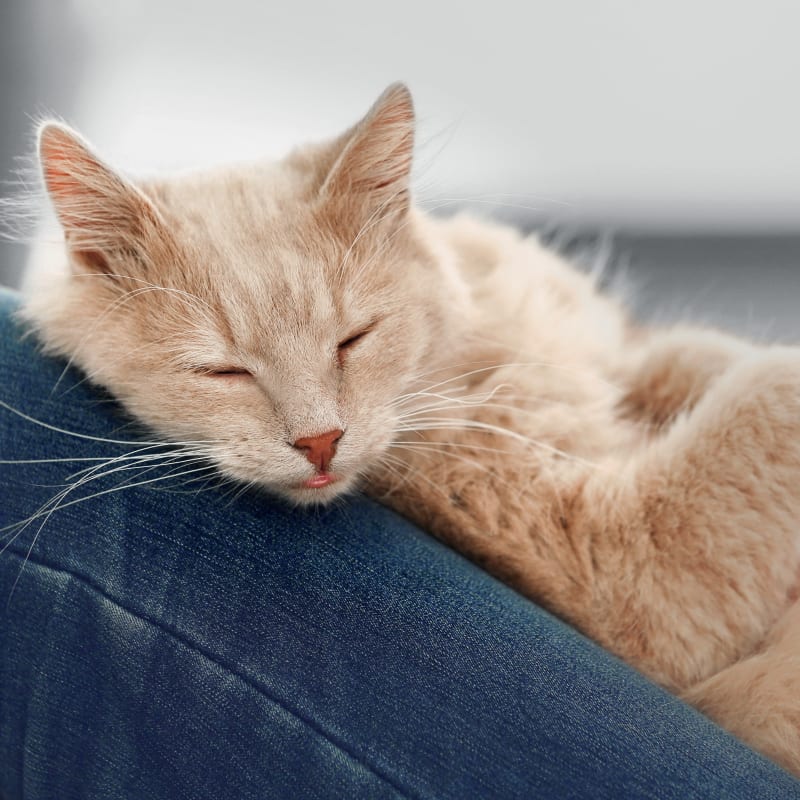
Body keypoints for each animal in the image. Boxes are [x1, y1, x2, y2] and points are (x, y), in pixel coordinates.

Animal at [14, 83, 800, 776]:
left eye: (353, 339)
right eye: (222, 372)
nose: (320, 441)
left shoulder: (614, 358)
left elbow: (689, 357)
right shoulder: (623, 555)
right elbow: (770, 385)